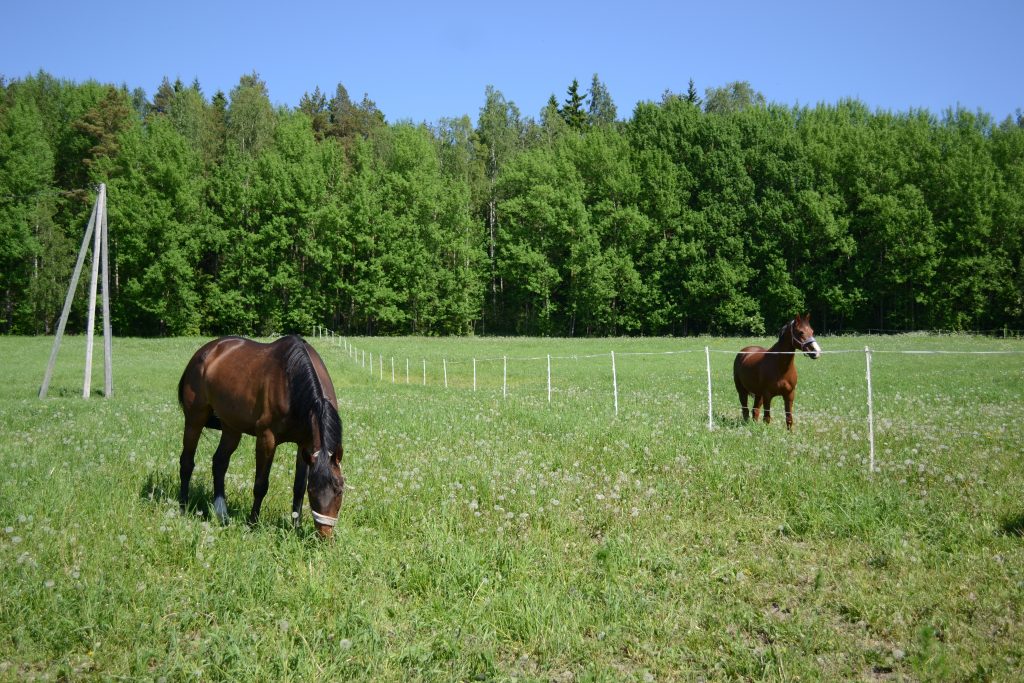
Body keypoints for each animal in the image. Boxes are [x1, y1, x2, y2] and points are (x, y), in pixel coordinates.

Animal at [178, 335, 346, 540]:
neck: (293, 382)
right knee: (187, 462)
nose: (325, 535)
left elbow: (298, 487)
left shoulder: (305, 445)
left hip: (231, 428)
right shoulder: (266, 439)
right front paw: (252, 524)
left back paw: (222, 513)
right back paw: (183, 507)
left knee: (219, 463)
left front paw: (295, 526)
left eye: (339, 490)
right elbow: (260, 485)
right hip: (194, 419)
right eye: (313, 491)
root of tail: (203, 352)